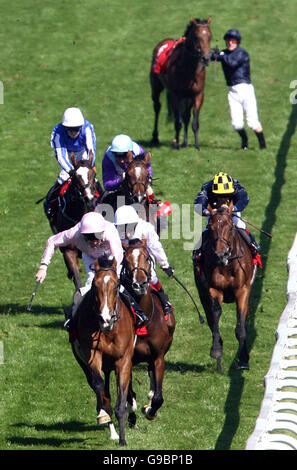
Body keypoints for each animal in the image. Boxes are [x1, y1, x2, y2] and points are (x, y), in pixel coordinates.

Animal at [70, 255, 134, 446]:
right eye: (95, 285)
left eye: (116, 284)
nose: (106, 319)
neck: (108, 331)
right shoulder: (92, 353)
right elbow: (100, 388)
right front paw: (104, 415)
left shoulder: (123, 359)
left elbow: (122, 392)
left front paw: (123, 439)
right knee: (98, 385)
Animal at [120, 239, 175, 422]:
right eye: (126, 260)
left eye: (146, 257)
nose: (139, 284)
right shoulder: (127, 359)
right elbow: (128, 392)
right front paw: (132, 407)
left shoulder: (158, 356)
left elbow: (158, 396)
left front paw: (150, 409)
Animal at [149, 17, 212, 149]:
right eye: (196, 37)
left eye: (210, 36)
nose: (206, 58)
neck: (189, 68)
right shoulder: (175, 94)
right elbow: (178, 121)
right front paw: (176, 144)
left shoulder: (197, 95)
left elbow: (194, 122)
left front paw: (196, 145)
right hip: (156, 87)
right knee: (157, 107)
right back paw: (155, 137)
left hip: (187, 98)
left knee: (186, 116)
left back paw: (185, 142)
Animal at [193, 204, 256, 372]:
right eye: (211, 227)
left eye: (230, 227)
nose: (221, 254)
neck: (227, 265)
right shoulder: (213, 289)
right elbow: (215, 315)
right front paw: (216, 350)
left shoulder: (243, 290)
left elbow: (241, 326)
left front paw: (243, 360)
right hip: (202, 294)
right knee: (210, 318)